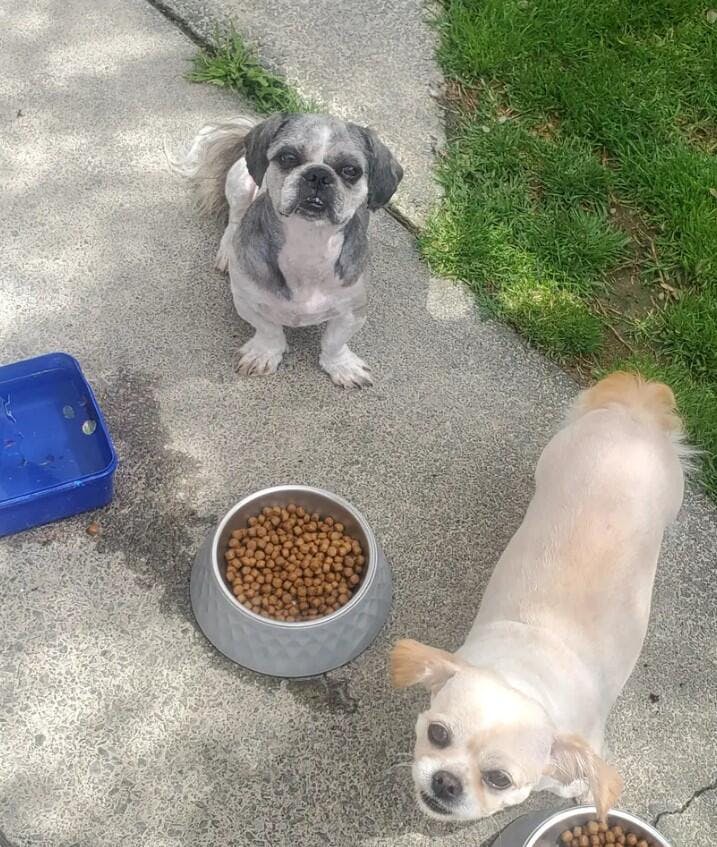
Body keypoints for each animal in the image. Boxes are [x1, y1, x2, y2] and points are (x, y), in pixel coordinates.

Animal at [168, 113, 403, 387]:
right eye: (288, 157)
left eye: (350, 170)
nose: (318, 174)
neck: (308, 244)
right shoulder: (247, 300)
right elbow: (269, 331)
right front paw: (264, 353)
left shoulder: (352, 310)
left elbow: (334, 342)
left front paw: (341, 365)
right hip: (240, 183)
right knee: (235, 219)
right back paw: (228, 248)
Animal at [391, 373, 689, 822]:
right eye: (437, 733)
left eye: (499, 779)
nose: (446, 781)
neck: (524, 674)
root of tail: (632, 418)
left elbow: (576, 778)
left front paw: (578, 788)